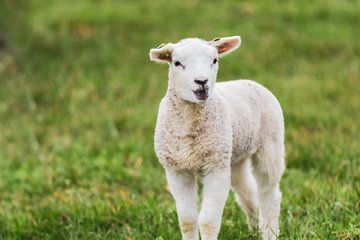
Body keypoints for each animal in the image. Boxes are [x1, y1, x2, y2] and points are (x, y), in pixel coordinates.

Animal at [148, 36, 284, 240]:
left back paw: (269, 232)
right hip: (234, 156)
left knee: (269, 194)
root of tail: (249, 82)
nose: (201, 81)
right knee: (248, 193)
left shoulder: (215, 167)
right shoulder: (177, 170)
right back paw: (254, 229)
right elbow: (187, 221)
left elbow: (208, 221)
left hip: (270, 145)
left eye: (214, 60)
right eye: (177, 63)